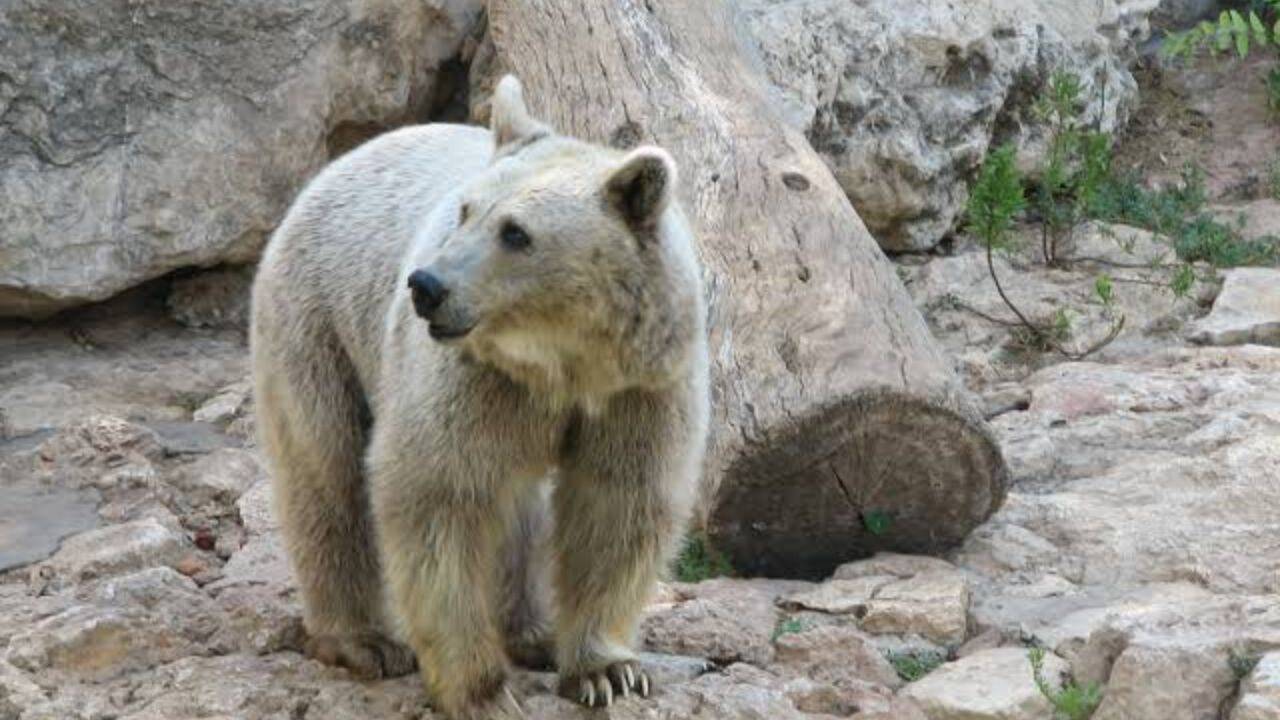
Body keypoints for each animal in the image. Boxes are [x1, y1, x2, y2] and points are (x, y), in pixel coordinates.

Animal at [250, 75, 710, 720]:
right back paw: (361, 640)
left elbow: (618, 504)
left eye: (516, 232)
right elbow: (440, 498)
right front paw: (482, 691)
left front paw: (606, 670)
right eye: (466, 211)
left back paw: (532, 631)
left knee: (521, 511)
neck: (565, 363)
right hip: (318, 321)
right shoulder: (474, 379)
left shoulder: (643, 387)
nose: (427, 285)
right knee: (325, 468)